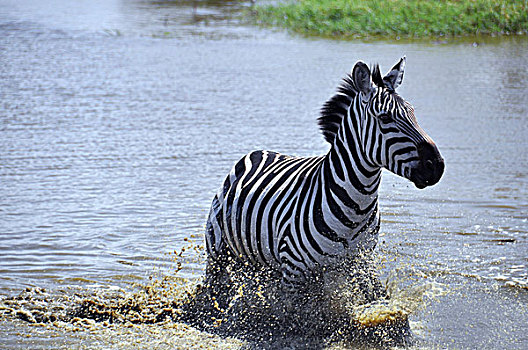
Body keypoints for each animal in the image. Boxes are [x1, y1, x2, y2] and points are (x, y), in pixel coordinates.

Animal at [204, 58, 444, 292]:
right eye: (385, 118)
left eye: (412, 113)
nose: (437, 165)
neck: (357, 209)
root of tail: (257, 153)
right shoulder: (293, 272)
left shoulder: (361, 265)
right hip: (218, 255)